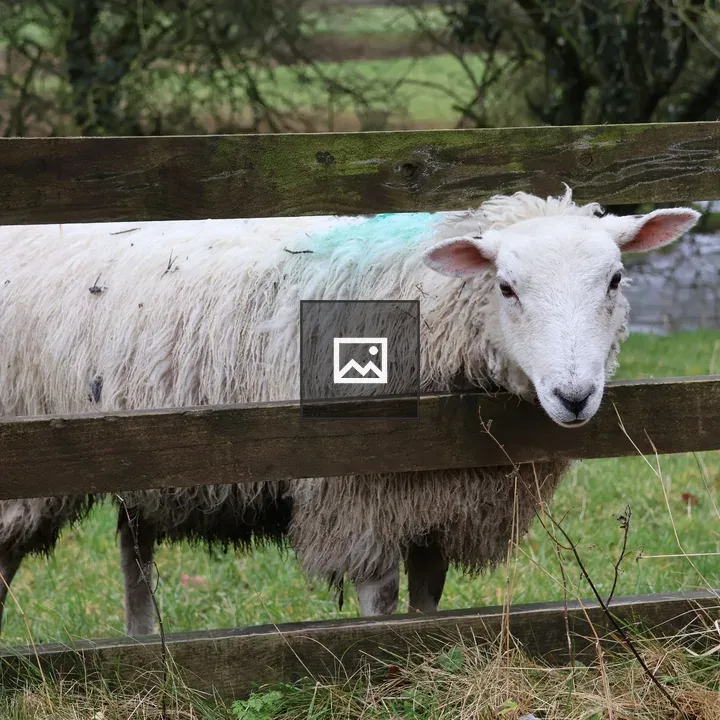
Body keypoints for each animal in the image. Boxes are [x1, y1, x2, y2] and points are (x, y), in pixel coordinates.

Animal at [0, 187, 699, 633]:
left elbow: (427, 600)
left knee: (134, 554)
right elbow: (381, 600)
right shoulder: (356, 493)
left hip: (142, 451)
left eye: (615, 279)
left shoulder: (434, 494)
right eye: (506, 287)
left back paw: (147, 645)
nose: (575, 397)